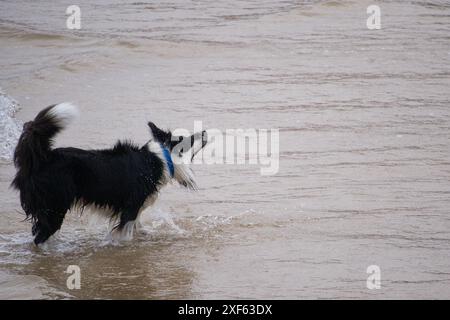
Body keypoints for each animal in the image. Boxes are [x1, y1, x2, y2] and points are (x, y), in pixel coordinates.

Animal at [10, 103, 207, 245]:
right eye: (189, 139)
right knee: (39, 238)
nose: (205, 131)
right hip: (55, 207)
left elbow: (138, 227)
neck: (159, 158)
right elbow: (126, 233)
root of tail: (42, 158)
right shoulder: (130, 209)